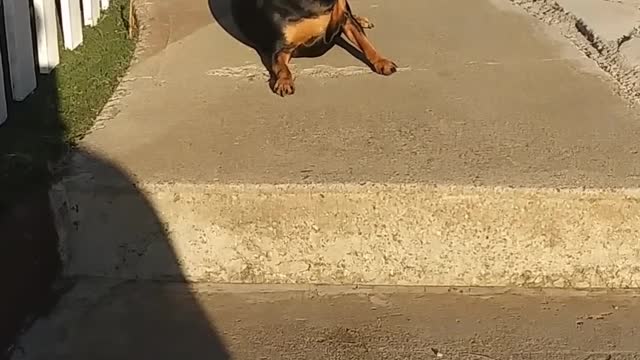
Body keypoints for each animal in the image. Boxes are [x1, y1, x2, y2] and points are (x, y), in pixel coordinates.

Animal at [232, 0, 398, 96]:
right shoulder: (280, 48)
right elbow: (282, 67)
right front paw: (284, 81)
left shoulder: (347, 20)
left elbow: (365, 43)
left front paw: (382, 61)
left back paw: (362, 19)